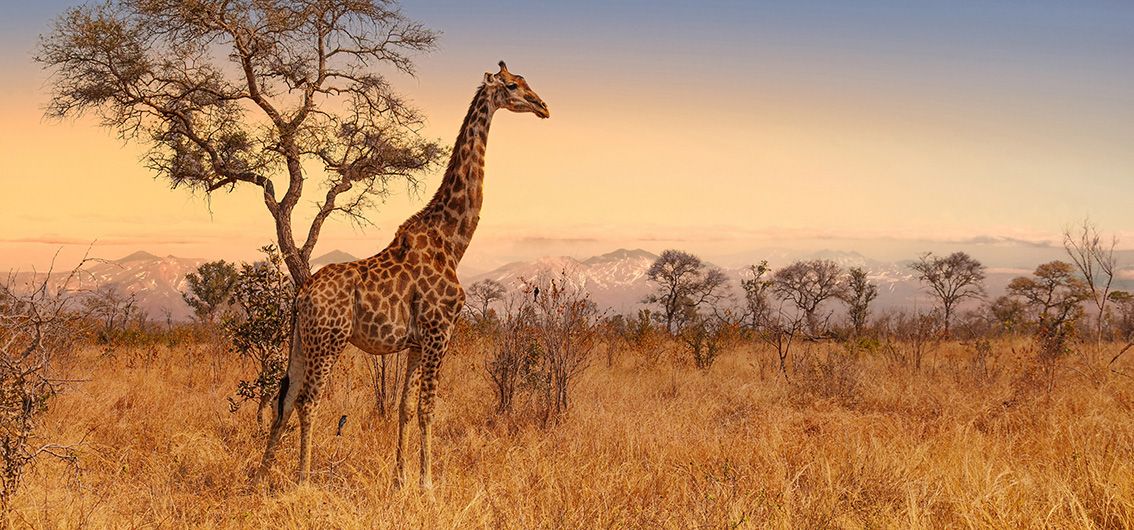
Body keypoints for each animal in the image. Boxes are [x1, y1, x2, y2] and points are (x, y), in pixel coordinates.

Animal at [251, 61, 548, 490]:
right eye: (512, 86)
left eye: (525, 83)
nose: (543, 106)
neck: (452, 240)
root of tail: (301, 295)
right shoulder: (441, 331)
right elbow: (428, 408)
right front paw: (428, 484)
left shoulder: (416, 342)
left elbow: (405, 407)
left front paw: (401, 479)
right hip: (329, 340)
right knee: (309, 400)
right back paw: (303, 479)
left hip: (303, 342)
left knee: (285, 397)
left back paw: (260, 477)